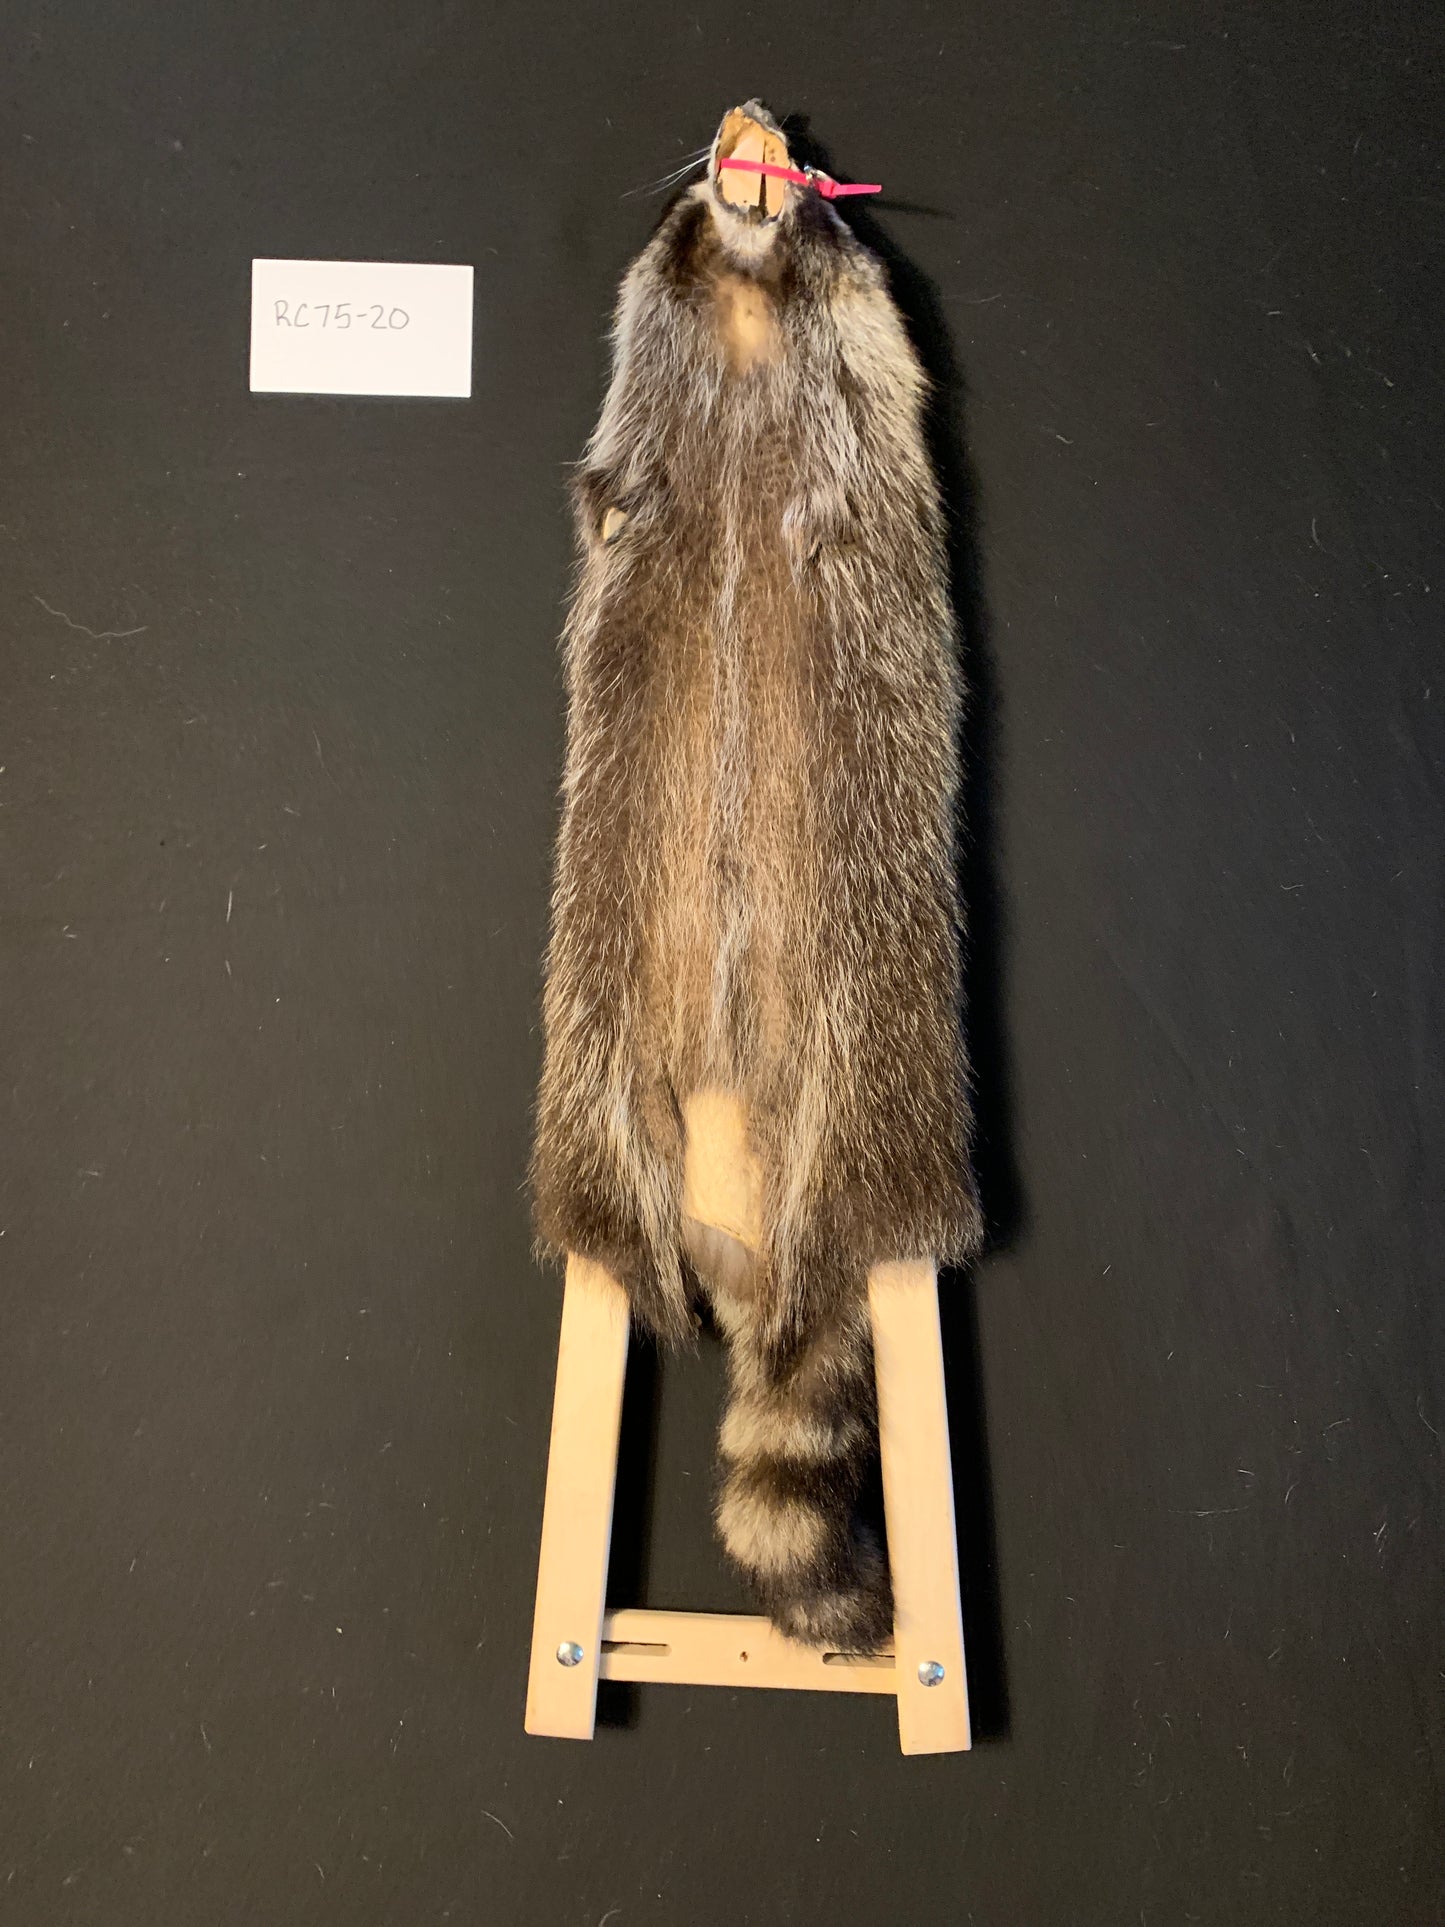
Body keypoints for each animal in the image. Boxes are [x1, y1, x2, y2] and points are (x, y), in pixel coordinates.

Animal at [531, 101, 982, 1651]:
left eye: (804, 164)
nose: (750, 120)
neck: (740, 302)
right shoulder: (641, 383)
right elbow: (615, 479)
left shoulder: (865, 356)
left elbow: (873, 430)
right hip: (602, 1062)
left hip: (870, 1063)